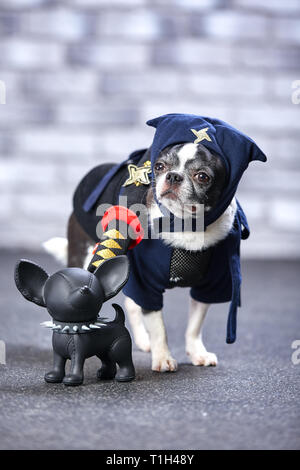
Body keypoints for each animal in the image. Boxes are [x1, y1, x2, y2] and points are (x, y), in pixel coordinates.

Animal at [14, 255, 135, 384]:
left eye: (92, 285)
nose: (85, 289)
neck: (71, 327)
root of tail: (119, 321)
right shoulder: (57, 353)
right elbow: (58, 364)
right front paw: (53, 376)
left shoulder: (78, 352)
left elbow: (76, 364)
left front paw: (72, 379)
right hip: (102, 351)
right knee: (107, 360)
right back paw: (105, 374)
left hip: (118, 346)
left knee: (124, 360)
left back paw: (124, 377)